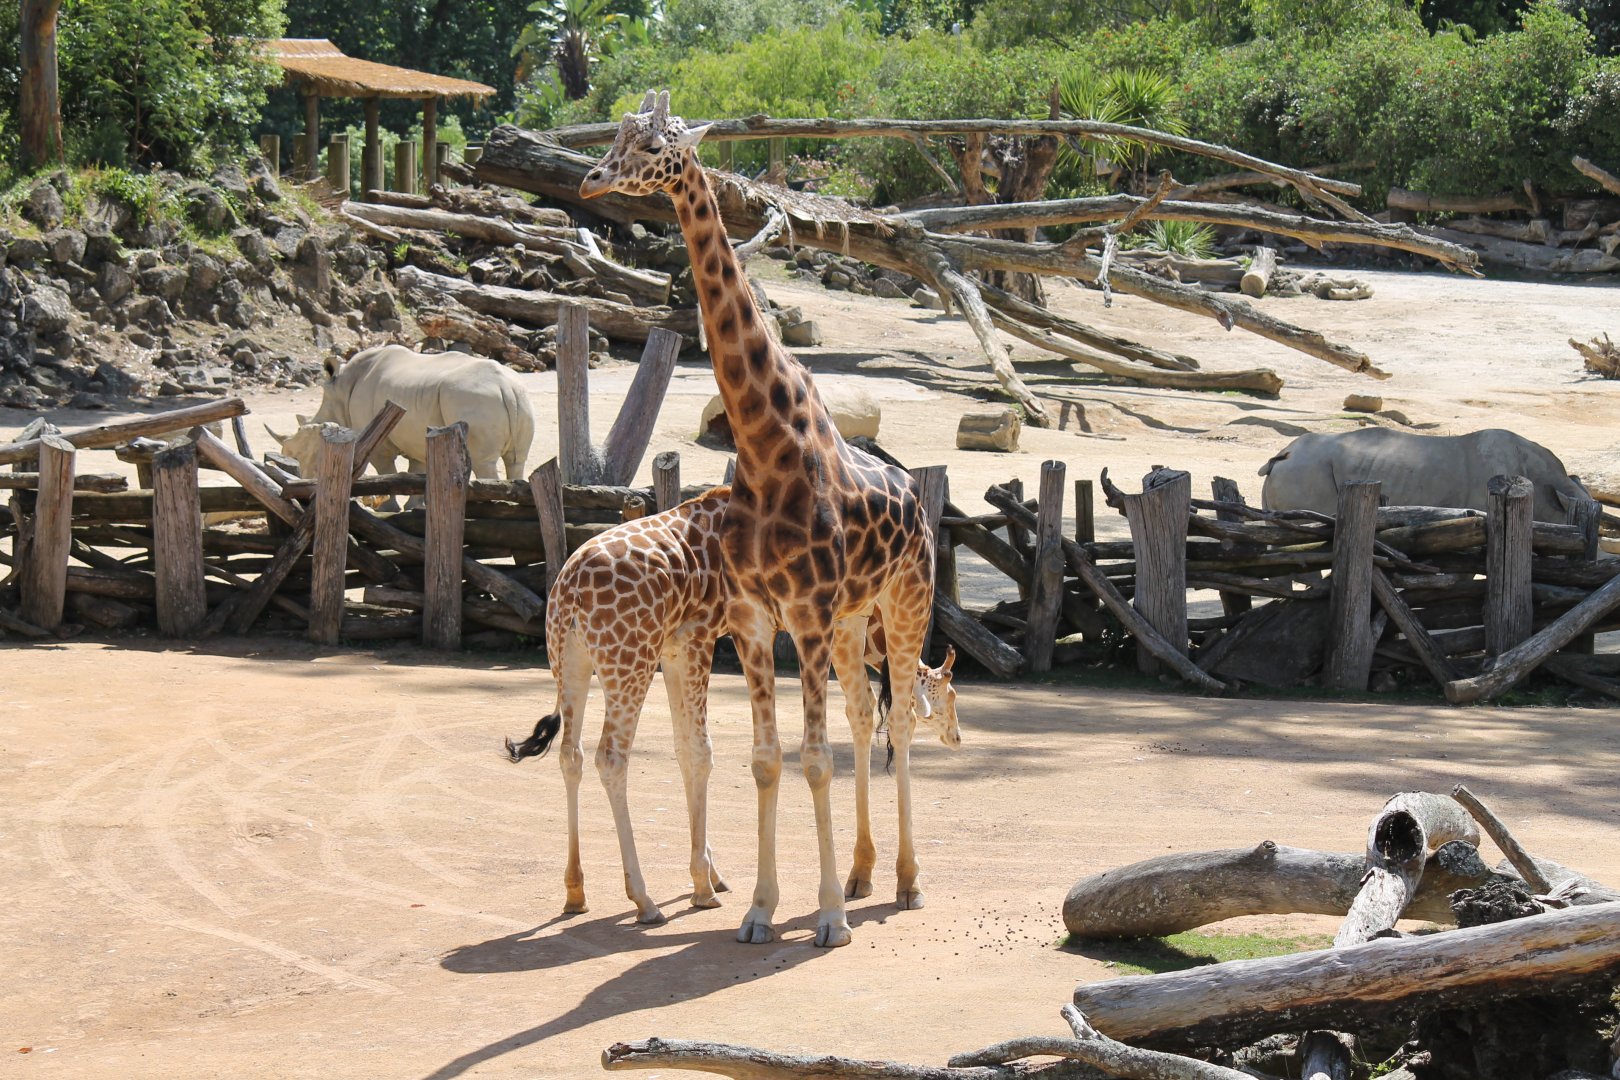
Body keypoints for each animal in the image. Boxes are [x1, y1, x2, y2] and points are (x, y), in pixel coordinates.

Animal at [504, 488, 960, 926]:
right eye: (951, 696)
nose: (957, 738)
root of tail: (570, 592)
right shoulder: (699, 638)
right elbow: (702, 753)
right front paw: (703, 886)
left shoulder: (675, 649)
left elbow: (685, 752)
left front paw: (710, 875)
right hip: (628, 661)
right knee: (611, 758)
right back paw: (644, 900)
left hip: (570, 662)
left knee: (571, 755)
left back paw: (575, 892)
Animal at [581, 91, 941, 948]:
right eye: (613, 134)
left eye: (654, 142)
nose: (589, 180)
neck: (765, 443)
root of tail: (917, 494)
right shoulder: (754, 618)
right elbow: (769, 759)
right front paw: (762, 907)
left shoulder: (803, 613)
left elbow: (810, 759)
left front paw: (830, 920)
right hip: (851, 622)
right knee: (861, 719)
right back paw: (862, 871)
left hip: (903, 602)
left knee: (905, 722)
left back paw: (906, 882)